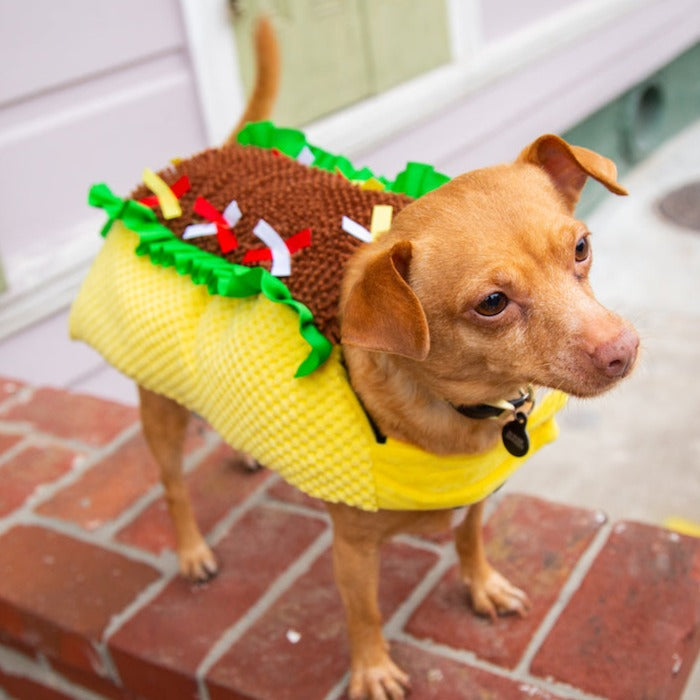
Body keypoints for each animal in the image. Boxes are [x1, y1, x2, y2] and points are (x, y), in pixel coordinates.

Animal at [134, 15, 636, 700]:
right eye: (492, 303)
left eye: (582, 248)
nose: (623, 350)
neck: (458, 412)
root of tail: (207, 156)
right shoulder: (352, 547)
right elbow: (363, 610)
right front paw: (371, 668)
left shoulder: (477, 490)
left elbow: (470, 538)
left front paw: (481, 585)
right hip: (158, 405)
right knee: (173, 486)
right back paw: (190, 551)